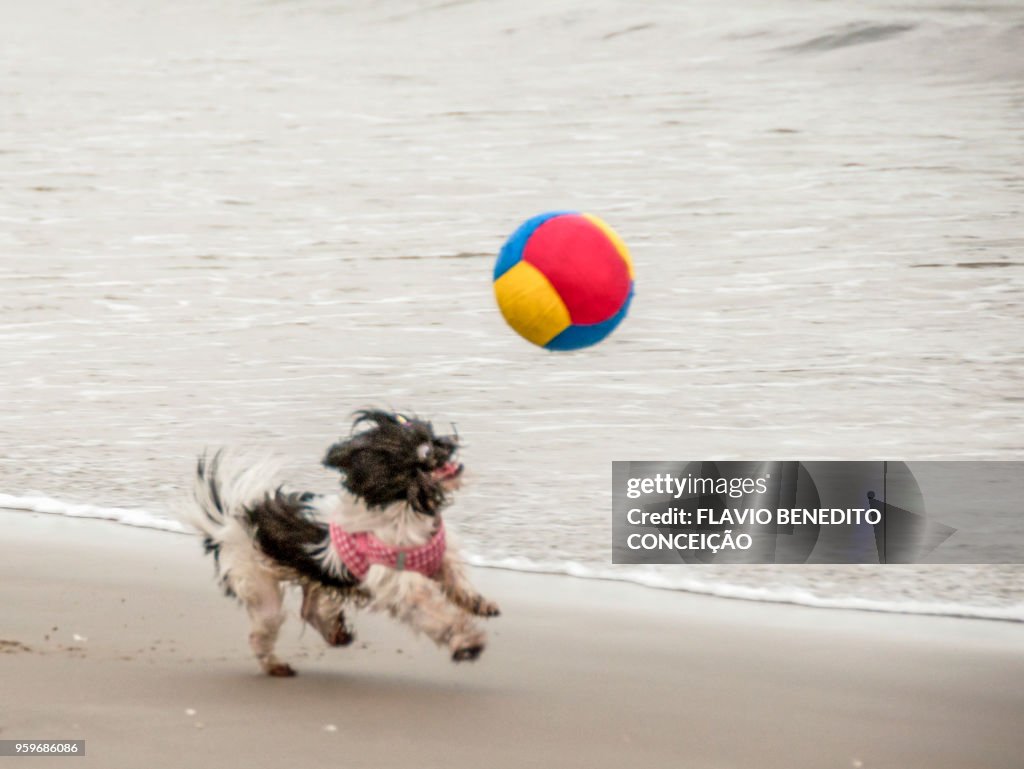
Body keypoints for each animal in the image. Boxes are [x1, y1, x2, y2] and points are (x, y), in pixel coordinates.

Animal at [188, 411, 503, 675]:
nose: (448, 441)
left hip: (313, 578)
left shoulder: (440, 558)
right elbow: (438, 615)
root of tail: (233, 522)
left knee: (310, 609)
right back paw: (275, 665)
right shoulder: (402, 586)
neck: (404, 510)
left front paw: (479, 604)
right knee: (261, 632)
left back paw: (335, 633)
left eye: (432, 433)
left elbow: (457, 583)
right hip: (261, 589)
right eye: (424, 449)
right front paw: (467, 643)